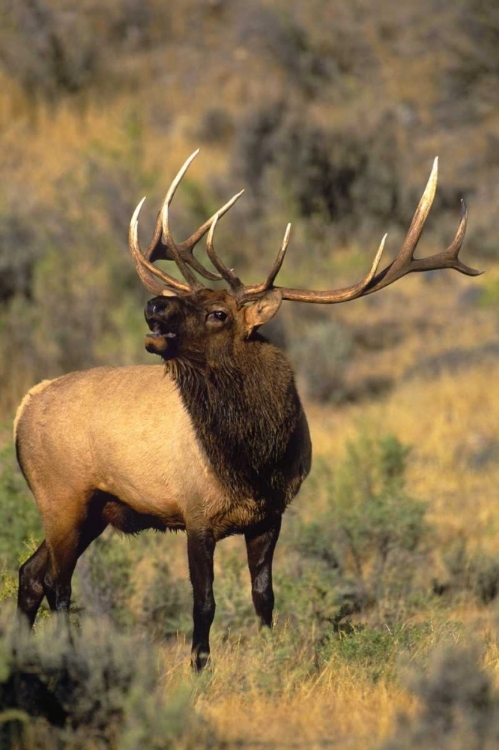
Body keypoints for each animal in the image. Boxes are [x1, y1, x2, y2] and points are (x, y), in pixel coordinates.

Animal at [14, 151, 480, 668]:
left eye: (217, 312)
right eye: (185, 298)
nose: (153, 305)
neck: (253, 461)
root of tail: (22, 407)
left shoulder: (269, 516)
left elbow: (264, 596)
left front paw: (271, 656)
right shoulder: (196, 514)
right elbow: (204, 603)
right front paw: (199, 667)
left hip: (91, 508)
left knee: (30, 575)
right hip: (61, 496)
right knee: (57, 583)